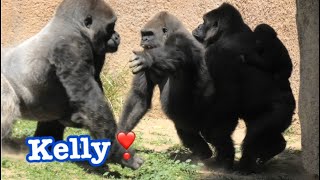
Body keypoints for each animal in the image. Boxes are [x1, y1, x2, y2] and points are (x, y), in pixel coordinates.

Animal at [0, 0, 142, 169]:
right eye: (110, 27)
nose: (117, 36)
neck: (72, 26)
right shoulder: (71, 47)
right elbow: (91, 101)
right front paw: (121, 153)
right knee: (8, 103)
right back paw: (6, 146)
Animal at [118, 11, 240, 163]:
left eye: (149, 34)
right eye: (143, 34)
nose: (144, 39)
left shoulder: (179, 41)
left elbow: (175, 53)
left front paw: (148, 58)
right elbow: (139, 96)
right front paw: (118, 138)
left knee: (215, 134)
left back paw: (224, 160)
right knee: (186, 128)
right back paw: (203, 153)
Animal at [192, 3, 296, 173]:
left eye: (204, 21)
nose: (199, 26)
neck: (228, 32)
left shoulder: (218, 54)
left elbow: (225, 104)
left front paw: (225, 159)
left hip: (280, 111)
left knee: (255, 135)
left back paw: (246, 166)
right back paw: (274, 148)